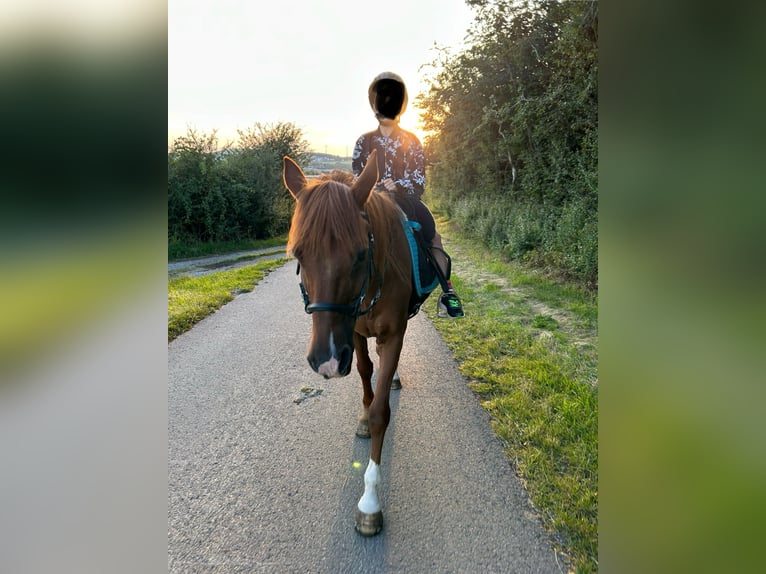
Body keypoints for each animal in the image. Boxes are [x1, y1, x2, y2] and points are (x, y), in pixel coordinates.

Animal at [284, 151, 414, 536]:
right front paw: (363, 418)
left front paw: (370, 502)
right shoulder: (352, 334)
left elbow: (381, 412)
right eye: (298, 255)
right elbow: (365, 374)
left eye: (359, 254)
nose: (325, 359)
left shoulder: (393, 335)